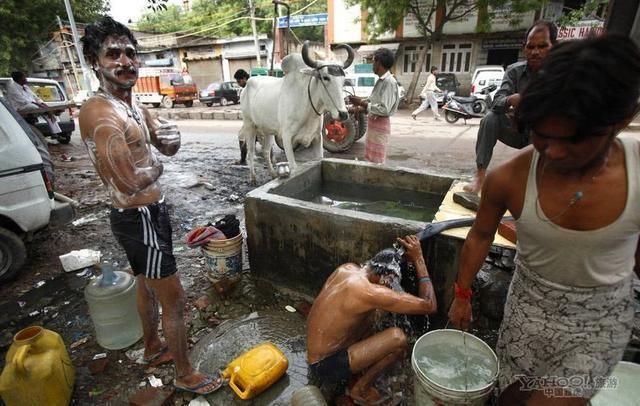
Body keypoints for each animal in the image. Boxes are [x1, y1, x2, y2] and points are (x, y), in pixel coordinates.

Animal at [239, 40, 352, 184]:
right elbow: (293, 166)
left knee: (265, 151)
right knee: (251, 151)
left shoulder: (317, 138)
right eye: (325, 77)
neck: (307, 107)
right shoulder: (287, 138)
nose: (343, 114)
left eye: (343, 80)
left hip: (268, 130)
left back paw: (273, 174)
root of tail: (247, 85)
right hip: (249, 125)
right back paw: (253, 178)